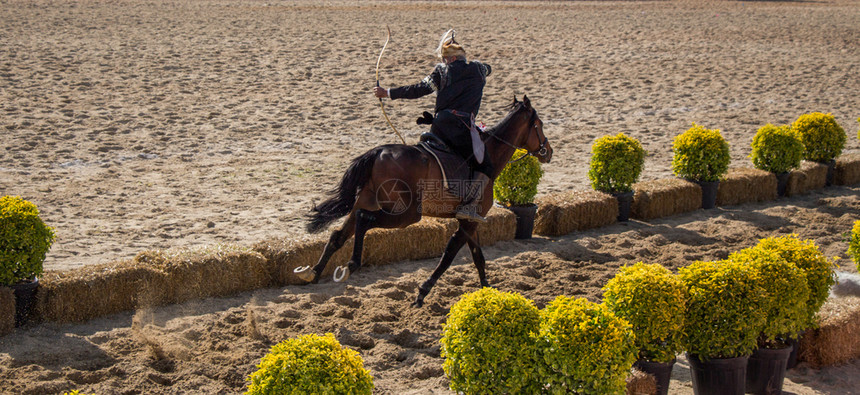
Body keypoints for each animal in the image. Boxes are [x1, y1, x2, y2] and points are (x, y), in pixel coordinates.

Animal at [296, 94, 552, 308]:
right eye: (539, 125)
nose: (548, 151)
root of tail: (379, 152)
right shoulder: (468, 222)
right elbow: (449, 256)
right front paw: (422, 293)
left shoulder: (472, 222)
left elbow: (478, 257)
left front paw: (488, 293)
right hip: (406, 214)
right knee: (364, 219)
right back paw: (351, 264)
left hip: (368, 200)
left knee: (338, 235)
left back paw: (313, 273)